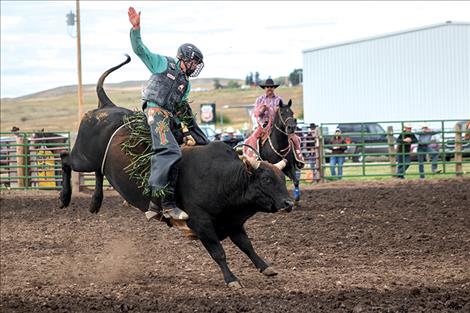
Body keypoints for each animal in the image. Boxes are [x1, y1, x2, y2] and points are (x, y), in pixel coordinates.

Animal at [59, 54, 294, 288]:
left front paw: (266, 267)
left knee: (96, 172)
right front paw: (232, 279)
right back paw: (64, 197)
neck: (224, 179)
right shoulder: (202, 223)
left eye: (282, 179)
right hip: (83, 157)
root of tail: (105, 106)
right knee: (64, 158)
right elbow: (218, 252)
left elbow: (247, 245)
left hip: (96, 161)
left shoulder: (232, 222)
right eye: (266, 180)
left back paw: (95, 202)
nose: (289, 203)